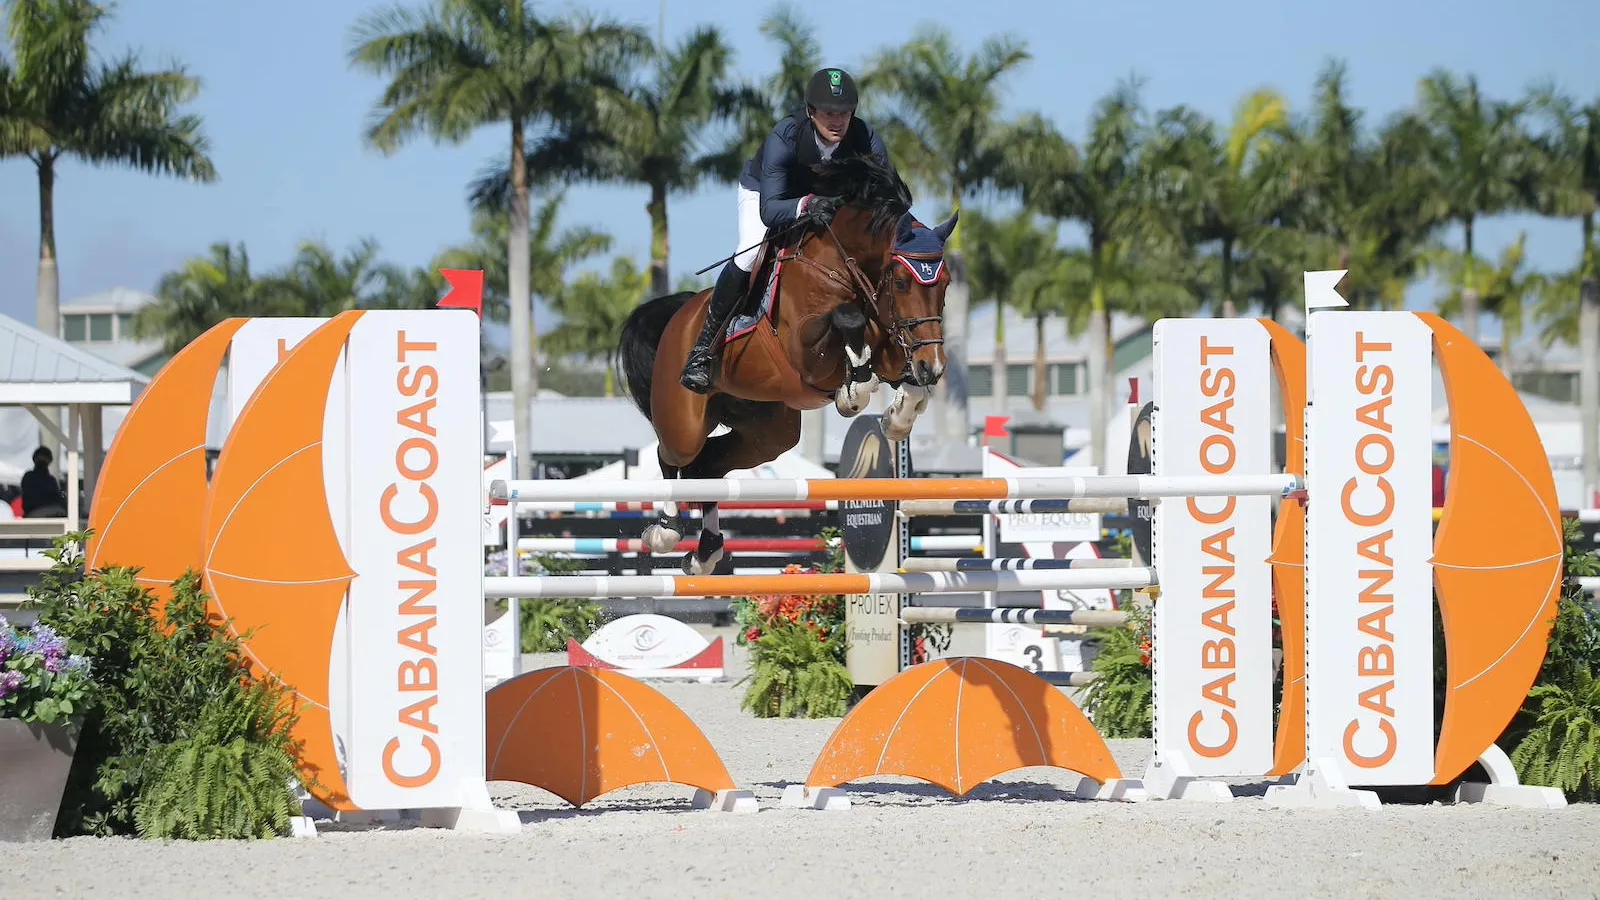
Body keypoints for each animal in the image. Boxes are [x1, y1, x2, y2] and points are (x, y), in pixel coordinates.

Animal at [616, 154, 957, 575]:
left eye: (945, 284)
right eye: (902, 282)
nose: (934, 367)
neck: (844, 266)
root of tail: (679, 314)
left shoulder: (895, 343)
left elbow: (902, 375)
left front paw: (897, 417)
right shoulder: (807, 350)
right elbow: (847, 320)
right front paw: (855, 390)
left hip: (767, 432)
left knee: (708, 465)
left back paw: (705, 553)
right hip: (685, 419)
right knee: (675, 455)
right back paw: (665, 531)